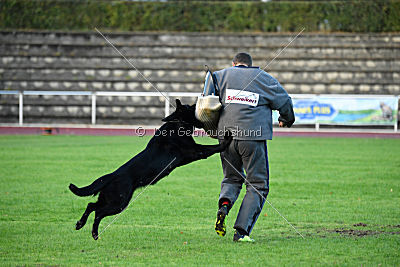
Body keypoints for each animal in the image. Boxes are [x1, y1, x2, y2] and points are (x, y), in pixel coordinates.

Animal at [69, 99, 231, 242]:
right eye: (190, 107)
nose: (196, 102)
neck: (177, 124)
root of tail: (111, 175)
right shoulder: (195, 151)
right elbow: (212, 148)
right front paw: (226, 140)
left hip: (109, 199)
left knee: (91, 205)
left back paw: (80, 224)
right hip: (119, 203)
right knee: (98, 212)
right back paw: (94, 233)